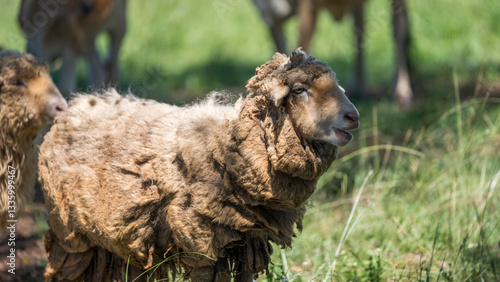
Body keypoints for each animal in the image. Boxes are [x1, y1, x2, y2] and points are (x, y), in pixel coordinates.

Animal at [39, 48, 360, 280]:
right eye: (298, 89)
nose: (353, 116)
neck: (229, 153)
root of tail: (78, 104)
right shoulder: (200, 243)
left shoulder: (249, 244)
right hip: (71, 236)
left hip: (118, 242)